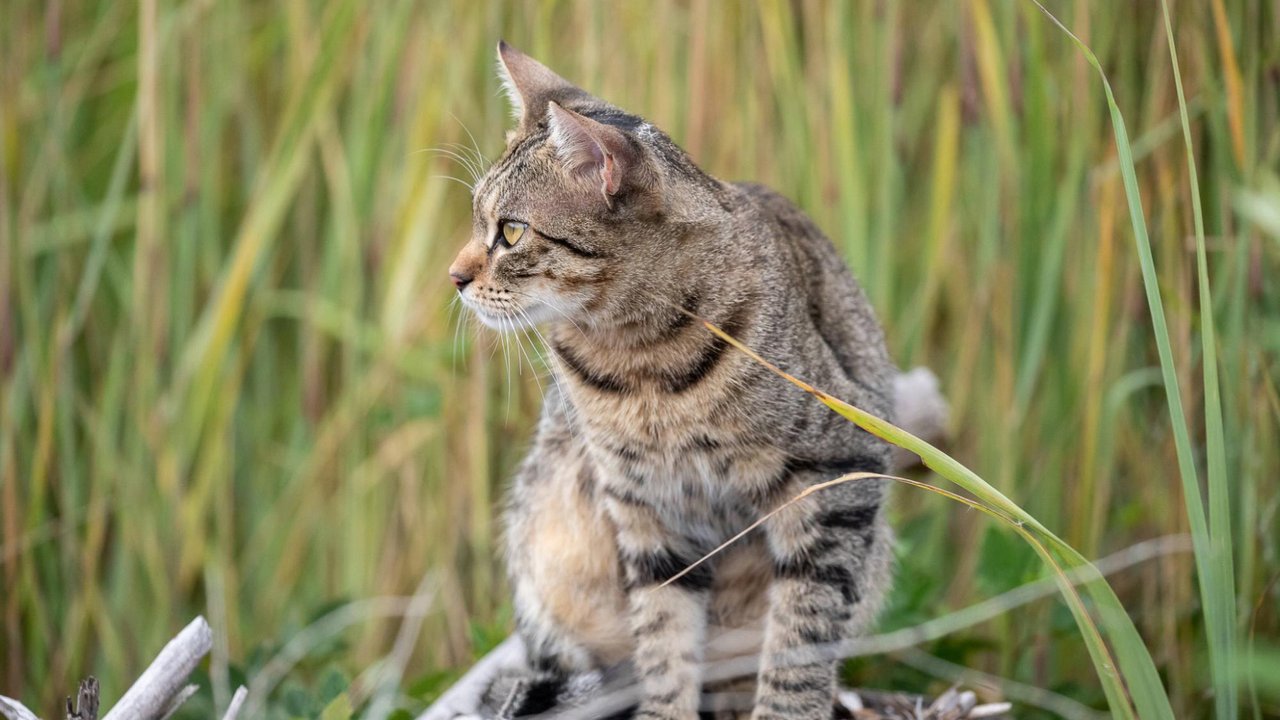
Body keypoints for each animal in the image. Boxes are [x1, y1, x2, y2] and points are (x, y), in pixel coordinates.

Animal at [453, 41, 901, 712]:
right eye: (477, 218)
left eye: (510, 231)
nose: (453, 276)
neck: (639, 362)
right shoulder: (645, 507)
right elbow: (664, 642)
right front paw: (665, 708)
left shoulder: (838, 473)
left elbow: (801, 635)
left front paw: (783, 708)